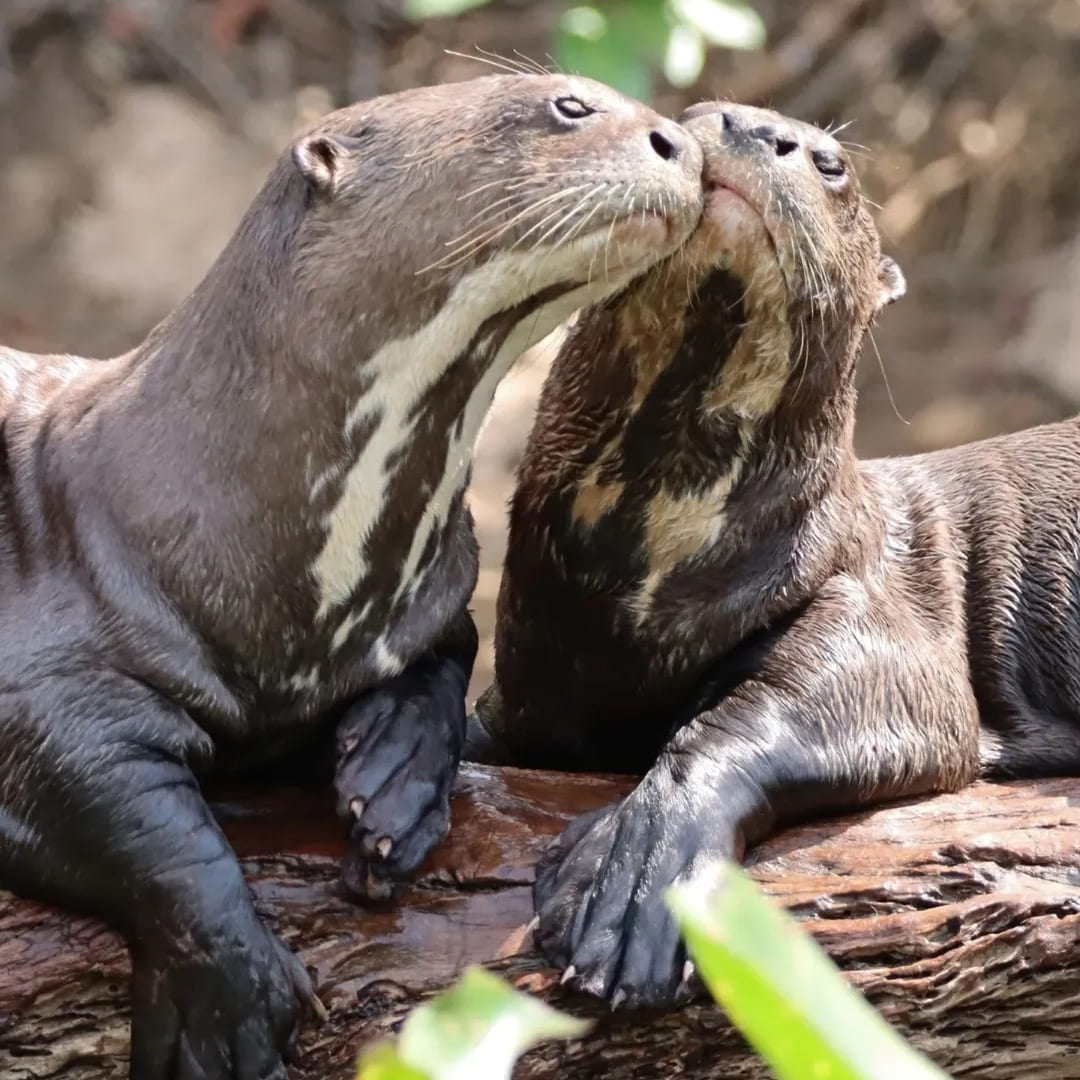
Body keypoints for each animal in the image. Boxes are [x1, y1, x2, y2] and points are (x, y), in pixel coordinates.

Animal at [0, 75, 703, 1077]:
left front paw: (397, 776)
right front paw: (230, 994)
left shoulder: (430, 597)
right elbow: (134, 814)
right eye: (569, 105)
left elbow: (450, 654)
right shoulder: (44, 660)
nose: (683, 142)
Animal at [472, 100, 1080, 1009]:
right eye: (690, 117)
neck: (636, 591)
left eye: (834, 164)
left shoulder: (876, 601)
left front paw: (634, 878)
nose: (760, 130)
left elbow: (848, 700)